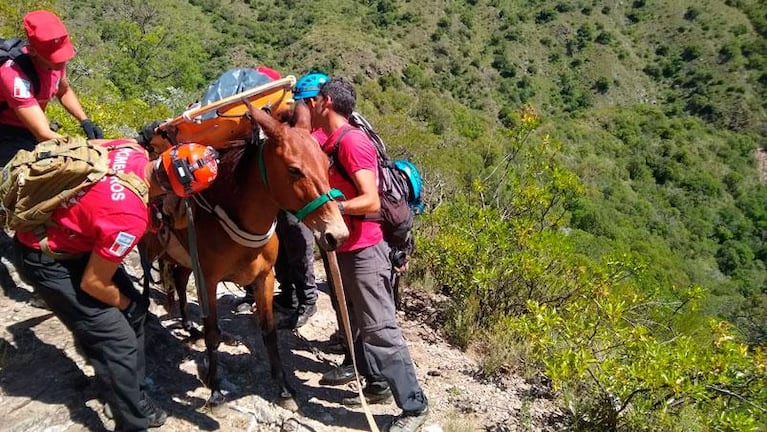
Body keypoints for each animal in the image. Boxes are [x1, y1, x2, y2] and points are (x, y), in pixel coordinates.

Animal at [143, 102, 348, 408]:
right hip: (150, 248)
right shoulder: (208, 281)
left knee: (178, 282)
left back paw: (189, 327)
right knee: (145, 281)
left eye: (327, 165)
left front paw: (283, 387)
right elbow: (213, 333)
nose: (337, 234)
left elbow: (269, 332)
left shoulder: (265, 278)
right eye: (294, 170)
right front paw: (215, 388)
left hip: (185, 259)